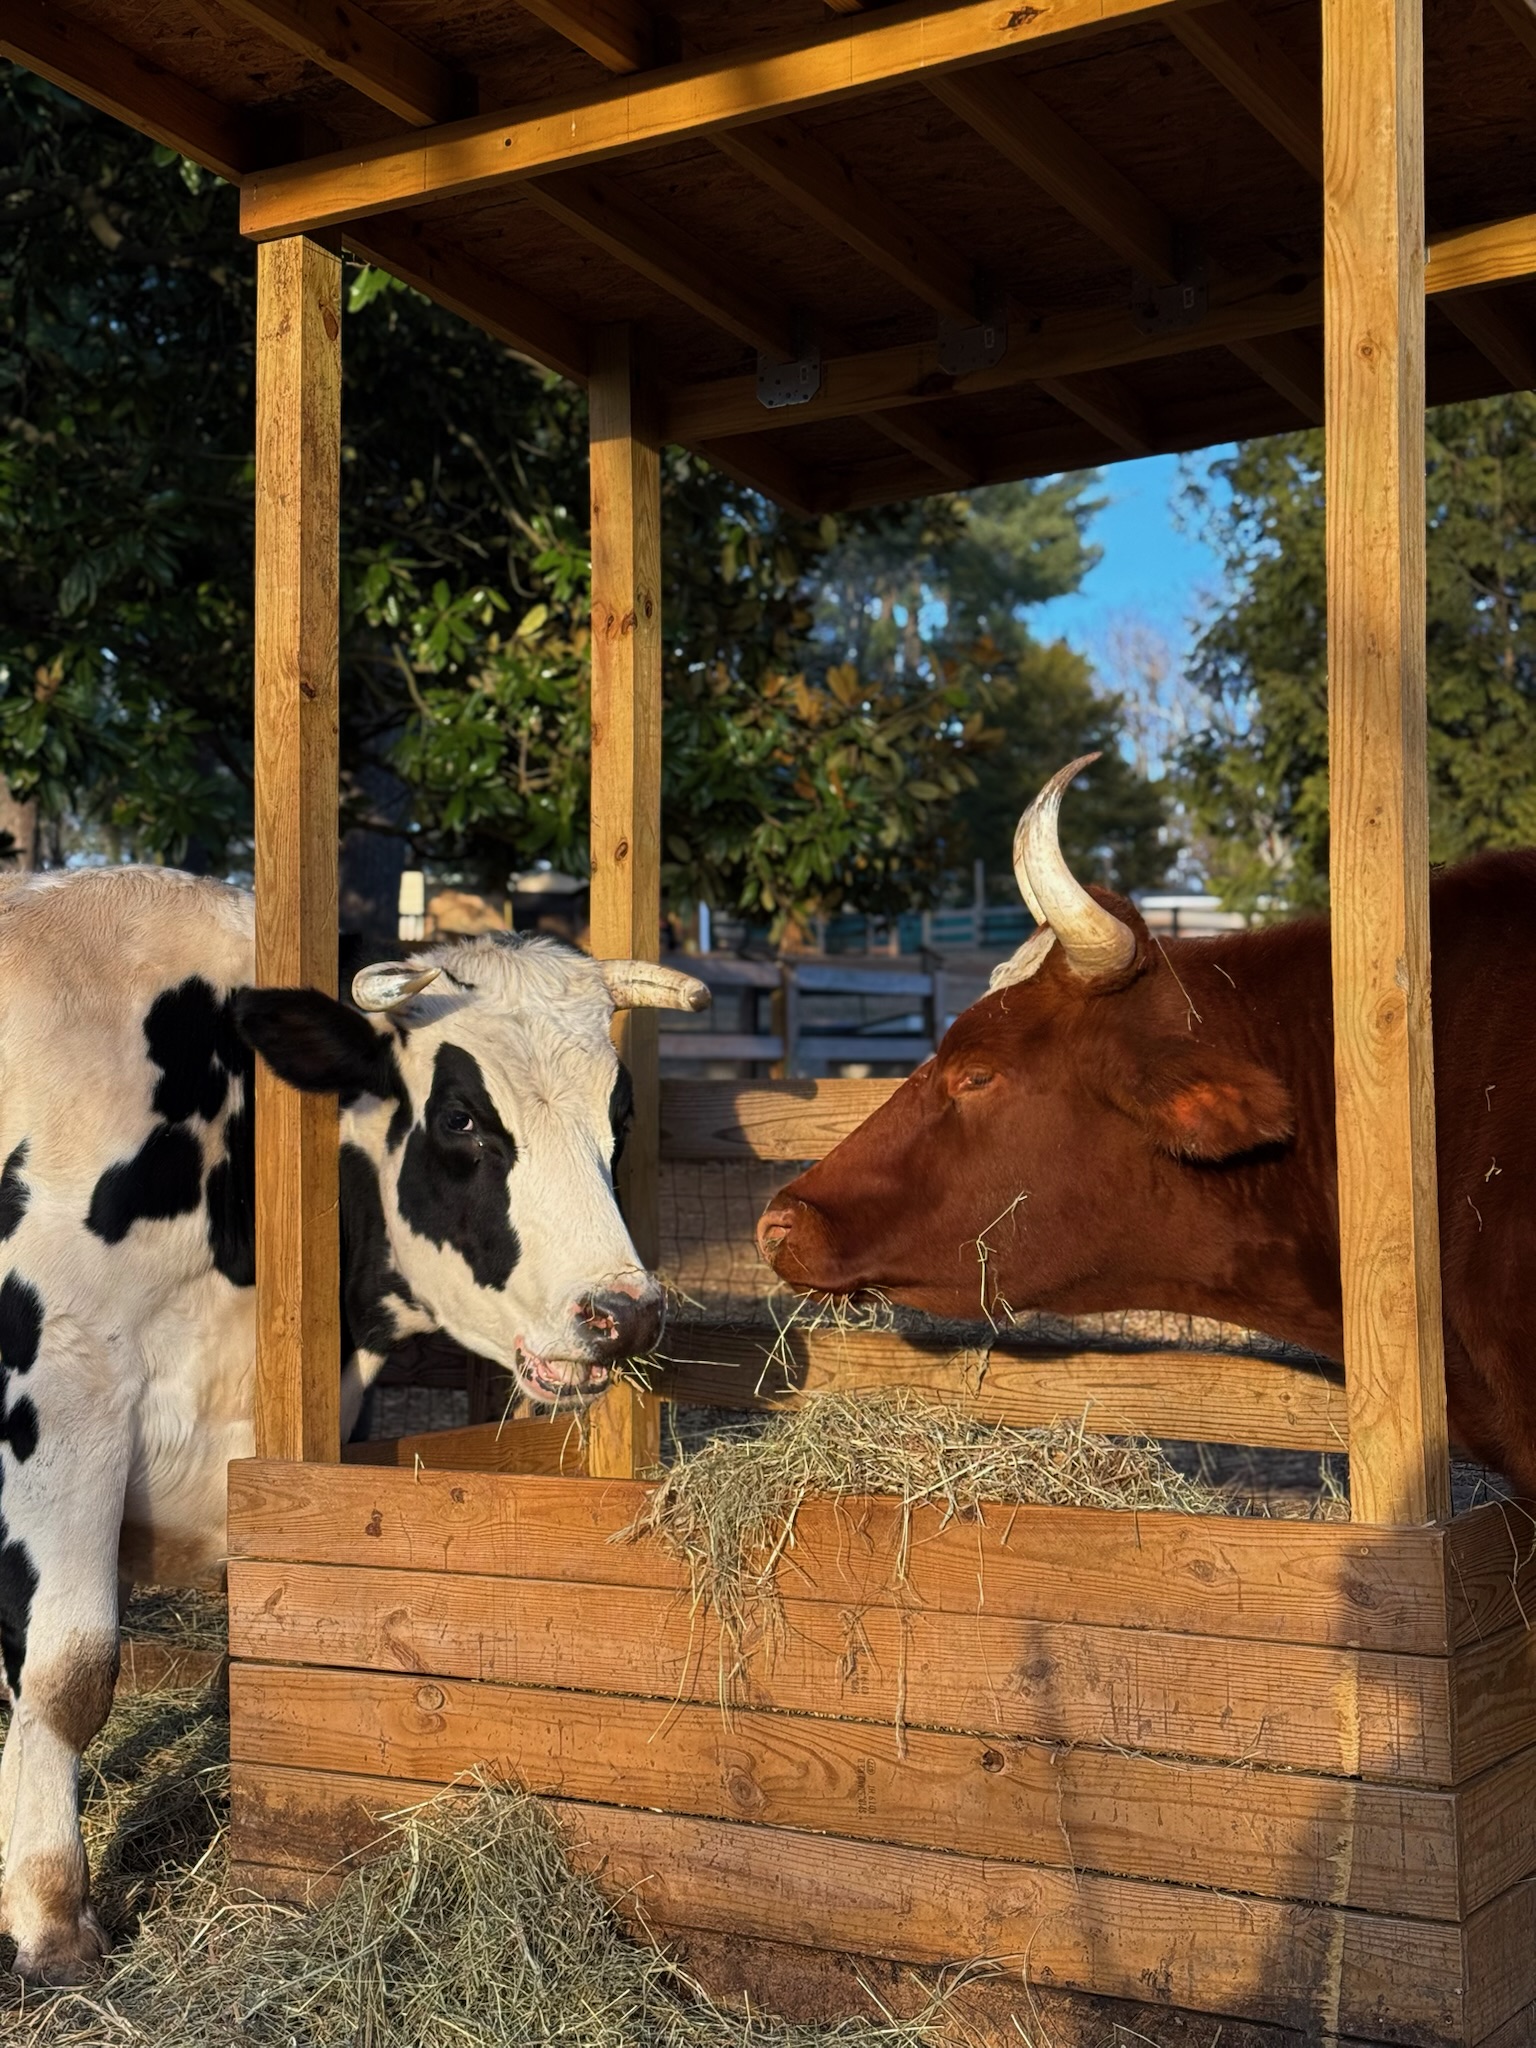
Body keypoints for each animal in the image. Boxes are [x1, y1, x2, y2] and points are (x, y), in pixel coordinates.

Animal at [0, 863, 706, 1980]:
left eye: (620, 1114)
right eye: (460, 1119)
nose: (623, 1311)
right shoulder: (63, 1388)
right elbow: (69, 1673)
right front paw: (51, 1919)